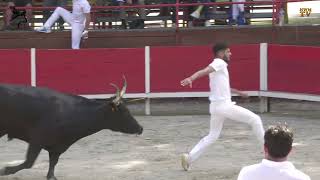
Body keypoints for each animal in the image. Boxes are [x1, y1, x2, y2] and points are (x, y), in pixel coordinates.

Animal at [0, 79, 143, 180]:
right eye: (124, 113)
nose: (140, 128)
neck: (73, 113)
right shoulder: (37, 140)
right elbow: (29, 162)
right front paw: (4, 170)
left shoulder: (58, 147)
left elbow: (52, 166)